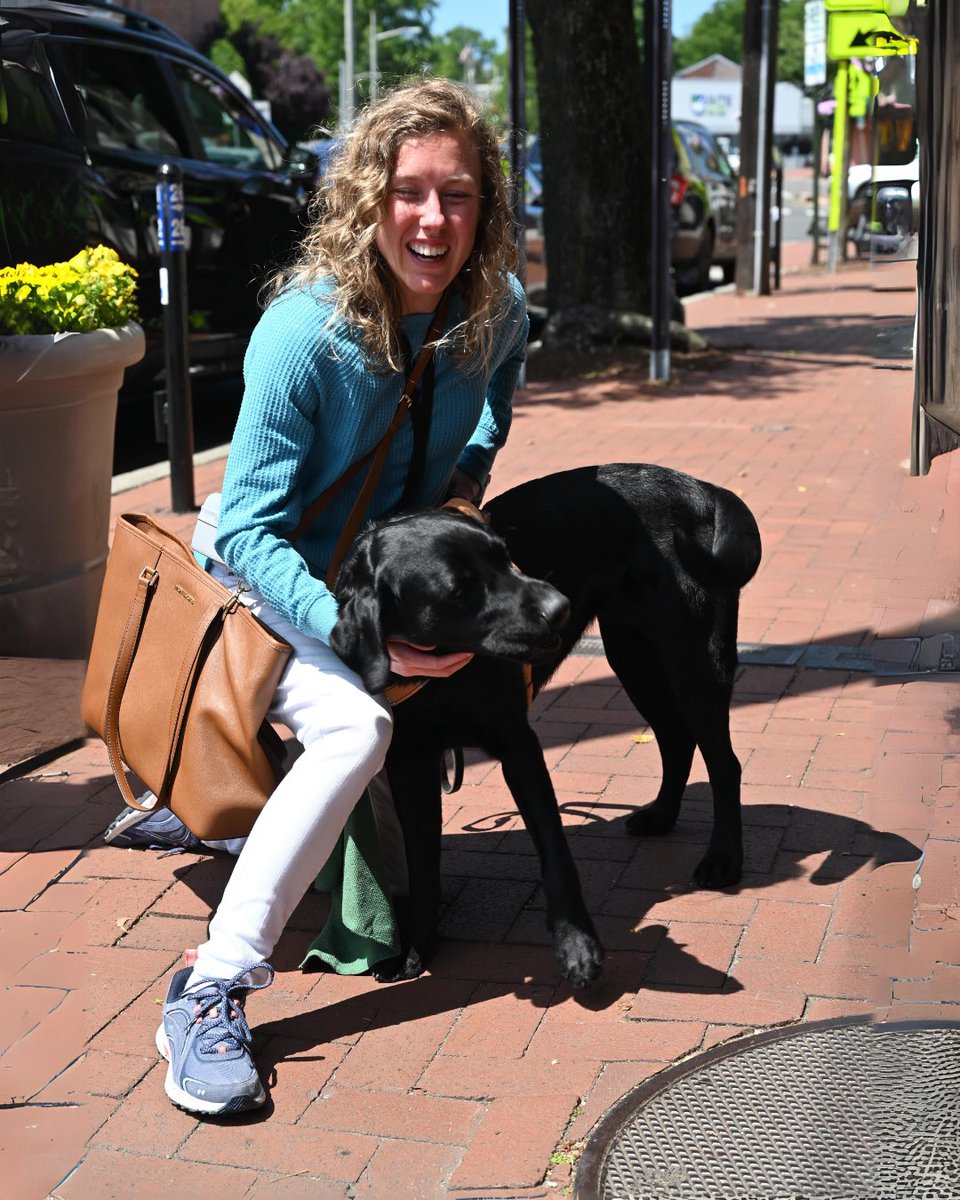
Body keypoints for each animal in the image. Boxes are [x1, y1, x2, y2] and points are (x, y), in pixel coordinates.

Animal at [331, 458, 763, 984]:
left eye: (504, 556)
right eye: (460, 588)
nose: (560, 607)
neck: (443, 671)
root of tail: (702, 488)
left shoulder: (519, 744)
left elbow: (556, 854)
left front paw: (578, 946)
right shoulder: (411, 762)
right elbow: (423, 861)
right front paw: (416, 946)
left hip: (694, 662)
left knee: (724, 762)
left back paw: (723, 858)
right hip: (632, 655)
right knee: (675, 738)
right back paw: (661, 815)